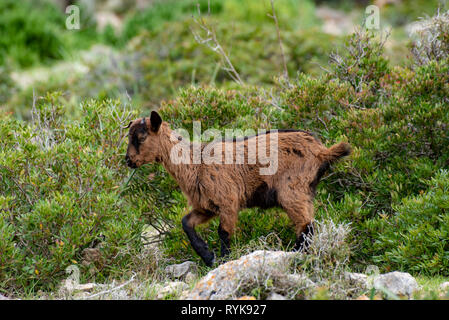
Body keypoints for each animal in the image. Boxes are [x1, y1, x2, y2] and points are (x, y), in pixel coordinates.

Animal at [125, 111, 350, 266]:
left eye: (141, 138)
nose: (128, 161)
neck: (196, 164)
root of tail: (322, 151)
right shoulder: (206, 207)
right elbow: (186, 223)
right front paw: (208, 256)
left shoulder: (228, 201)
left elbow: (224, 233)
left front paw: (223, 260)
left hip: (292, 188)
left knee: (306, 225)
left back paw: (294, 255)